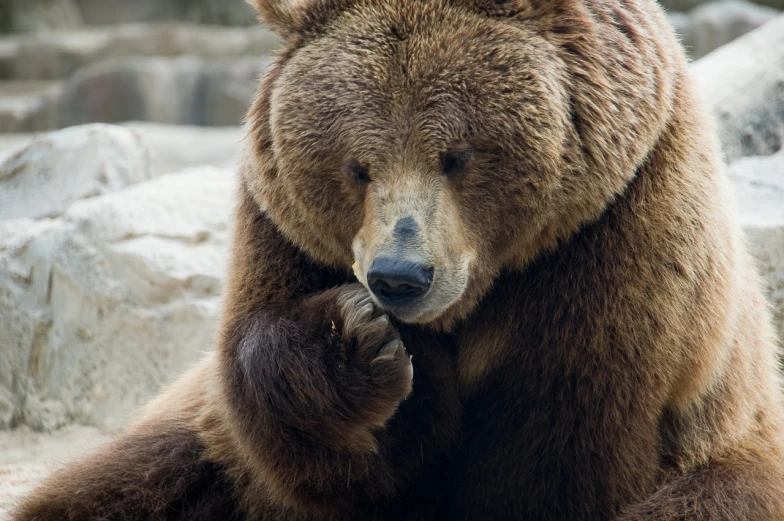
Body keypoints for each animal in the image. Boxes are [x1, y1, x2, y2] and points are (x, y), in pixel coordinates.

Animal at [10, 0, 784, 516]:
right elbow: (325, 447)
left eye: (459, 154)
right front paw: (358, 339)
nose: (399, 277)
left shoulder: (613, 241)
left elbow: (555, 450)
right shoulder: (283, 237)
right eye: (357, 166)